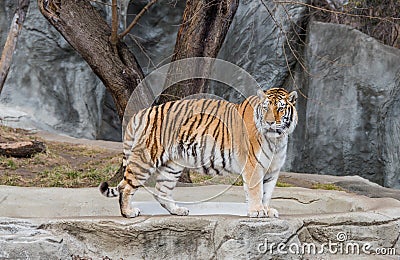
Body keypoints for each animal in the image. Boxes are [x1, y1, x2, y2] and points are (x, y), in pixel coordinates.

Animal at [99, 87, 296, 217]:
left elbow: (267, 193)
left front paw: (267, 210)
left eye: (280, 108)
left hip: (172, 165)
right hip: (146, 158)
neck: (276, 139)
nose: (270, 122)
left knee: (161, 190)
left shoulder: (272, 169)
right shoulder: (253, 166)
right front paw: (257, 211)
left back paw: (178, 211)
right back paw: (128, 213)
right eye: (266, 108)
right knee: (125, 186)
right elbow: (256, 191)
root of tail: (141, 113)